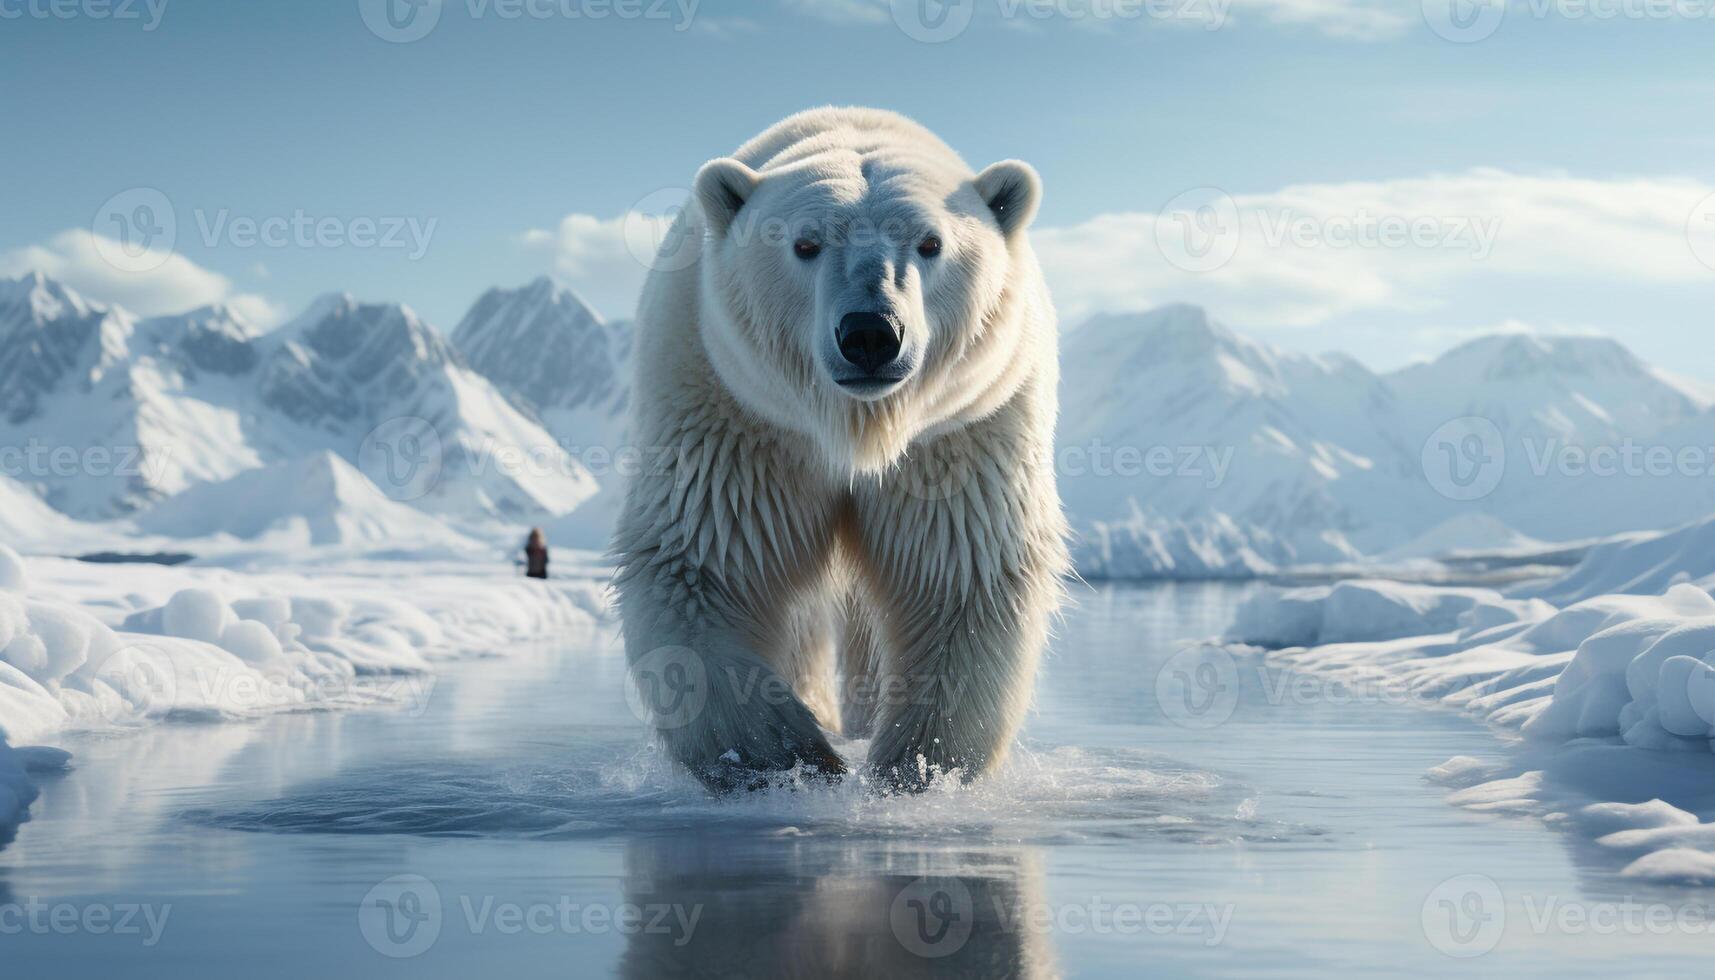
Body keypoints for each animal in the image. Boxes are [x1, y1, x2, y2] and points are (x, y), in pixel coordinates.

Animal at [617, 107, 1063, 792]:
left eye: (930, 243)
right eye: (805, 244)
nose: (871, 333)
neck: (856, 427)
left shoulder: (959, 429)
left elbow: (957, 572)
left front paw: (915, 767)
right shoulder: (735, 413)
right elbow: (705, 564)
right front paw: (788, 761)